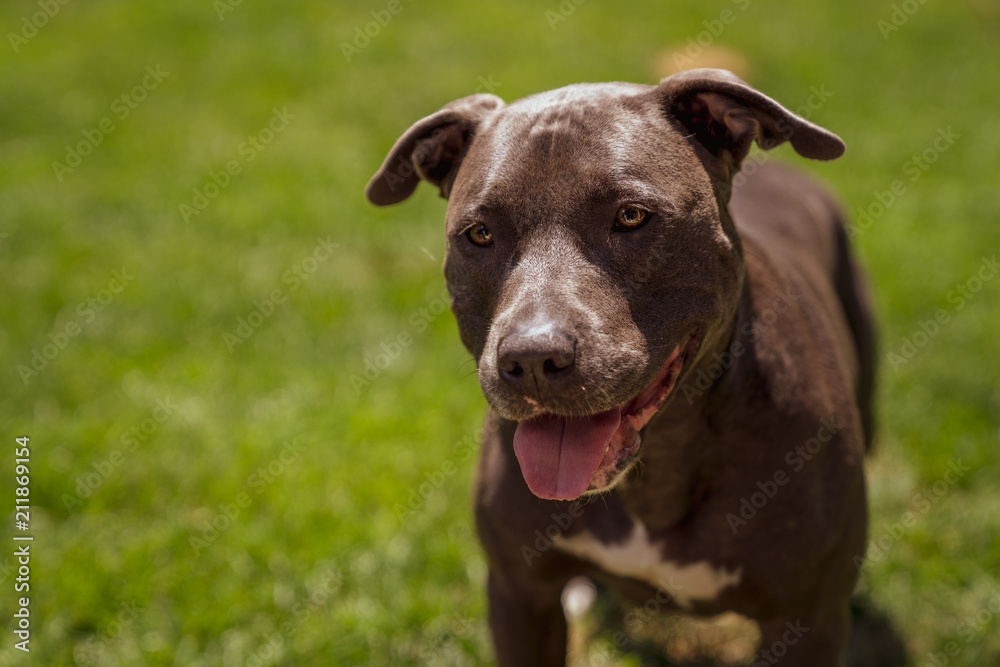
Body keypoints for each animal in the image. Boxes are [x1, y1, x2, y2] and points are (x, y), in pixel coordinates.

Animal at [368, 70, 876, 664]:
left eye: (631, 216)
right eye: (479, 233)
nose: (532, 358)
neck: (657, 468)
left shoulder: (805, 620)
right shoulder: (520, 595)